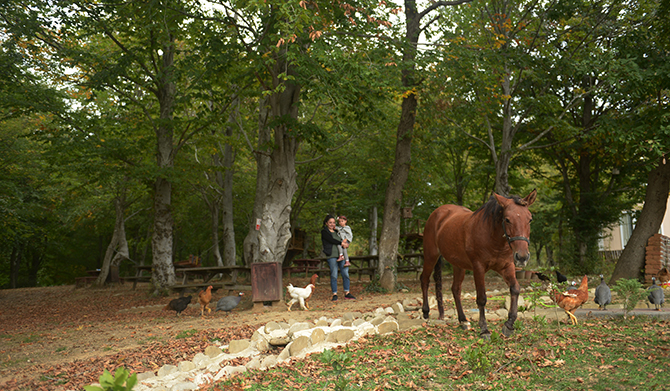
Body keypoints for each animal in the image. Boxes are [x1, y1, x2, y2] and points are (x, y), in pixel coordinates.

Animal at [422, 191, 540, 340]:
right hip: (430, 256)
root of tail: (437, 213)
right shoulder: (478, 268)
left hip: (458, 265)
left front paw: (509, 325)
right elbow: (482, 298)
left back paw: (463, 320)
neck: (493, 238)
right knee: (424, 280)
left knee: (456, 289)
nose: (522, 257)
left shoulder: (507, 267)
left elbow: (515, 289)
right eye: (507, 219)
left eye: (529, 219)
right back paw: (425, 312)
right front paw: (484, 329)